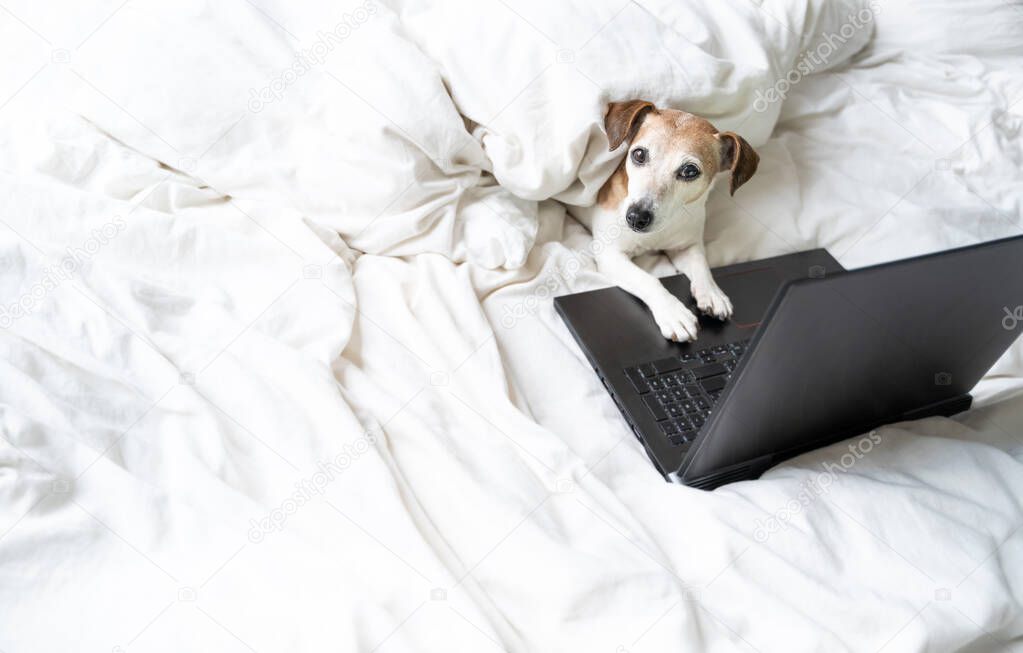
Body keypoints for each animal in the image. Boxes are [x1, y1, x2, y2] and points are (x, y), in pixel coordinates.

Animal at [576, 101, 761, 343]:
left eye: (689, 171)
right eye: (639, 154)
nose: (636, 217)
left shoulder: (686, 246)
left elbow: (701, 265)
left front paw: (712, 292)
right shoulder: (610, 255)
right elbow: (648, 279)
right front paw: (673, 313)